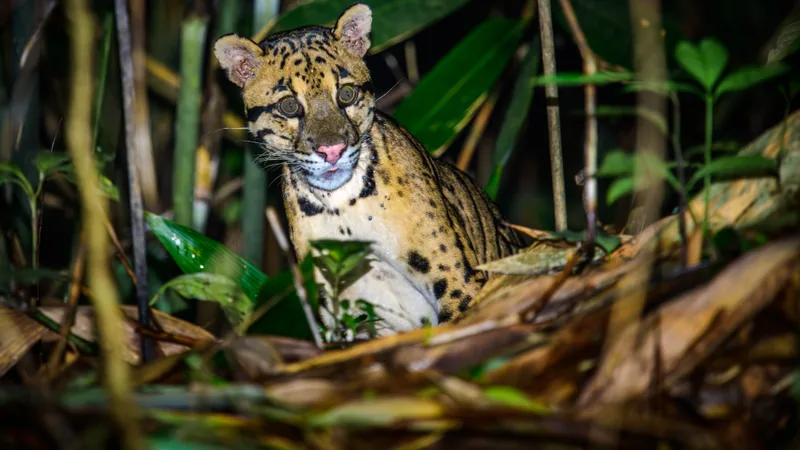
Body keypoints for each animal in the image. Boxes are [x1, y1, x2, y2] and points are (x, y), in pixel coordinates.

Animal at [214, 3, 524, 337]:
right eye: (289, 106)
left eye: (346, 94)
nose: (332, 150)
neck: (341, 206)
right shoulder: (343, 311)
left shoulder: (458, 282)